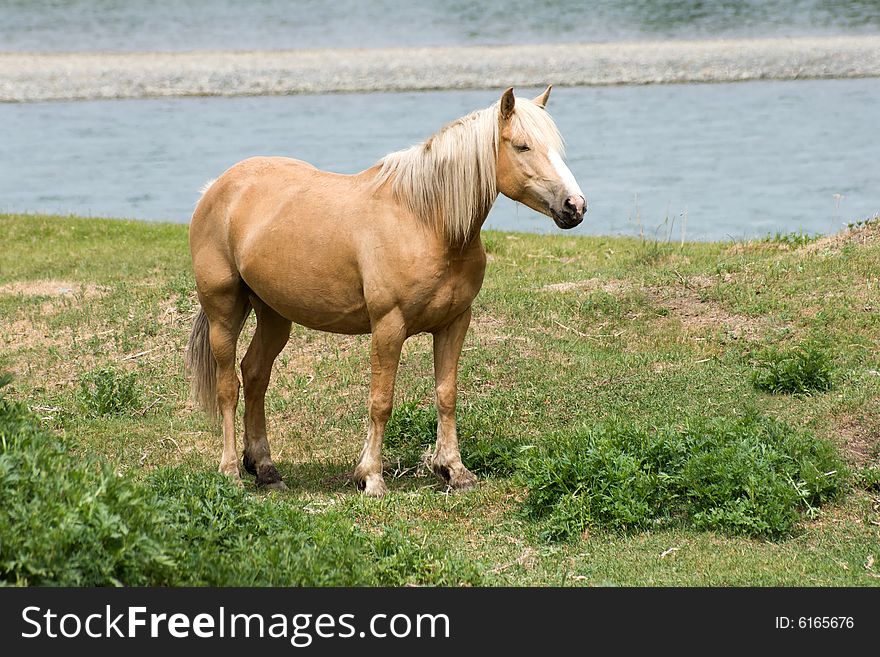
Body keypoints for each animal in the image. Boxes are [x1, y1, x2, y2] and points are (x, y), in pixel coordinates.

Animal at [185, 87, 584, 498]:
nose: (575, 206)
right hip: (223, 311)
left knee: (255, 375)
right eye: (522, 146)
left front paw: (454, 470)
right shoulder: (388, 327)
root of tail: (217, 188)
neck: (425, 221)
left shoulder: (455, 323)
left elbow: (446, 395)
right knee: (228, 386)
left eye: (555, 146)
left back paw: (265, 469)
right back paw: (230, 470)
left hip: (274, 314)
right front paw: (371, 477)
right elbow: (381, 401)